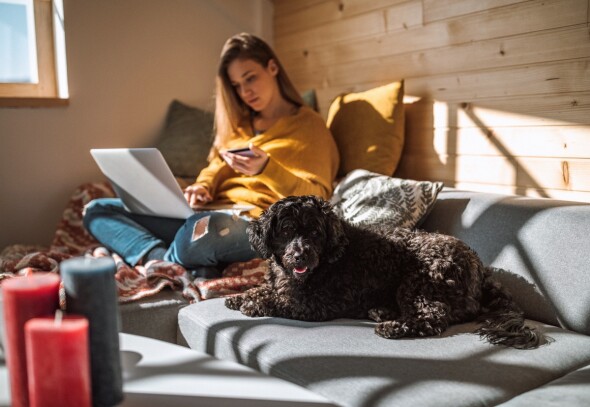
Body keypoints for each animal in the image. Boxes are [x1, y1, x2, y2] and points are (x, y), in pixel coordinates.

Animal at [225, 196, 540, 350]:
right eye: (287, 230)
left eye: (315, 232)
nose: (301, 255)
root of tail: (480, 266)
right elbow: (270, 288)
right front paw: (242, 295)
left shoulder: (319, 303)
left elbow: (284, 300)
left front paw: (254, 303)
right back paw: (383, 312)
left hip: (419, 281)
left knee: (434, 317)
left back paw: (393, 326)